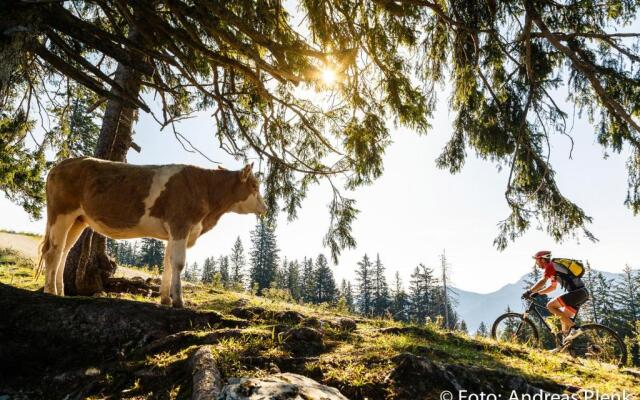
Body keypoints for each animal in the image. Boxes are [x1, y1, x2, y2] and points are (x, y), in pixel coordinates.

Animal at [37, 156, 268, 306]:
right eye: (254, 186)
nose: (265, 208)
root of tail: (60, 164)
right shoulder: (180, 225)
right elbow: (179, 263)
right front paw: (179, 301)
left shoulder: (174, 233)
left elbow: (167, 264)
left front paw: (165, 299)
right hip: (61, 213)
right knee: (52, 252)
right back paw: (50, 292)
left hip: (78, 220)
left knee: (63, 251)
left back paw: (60, 291)